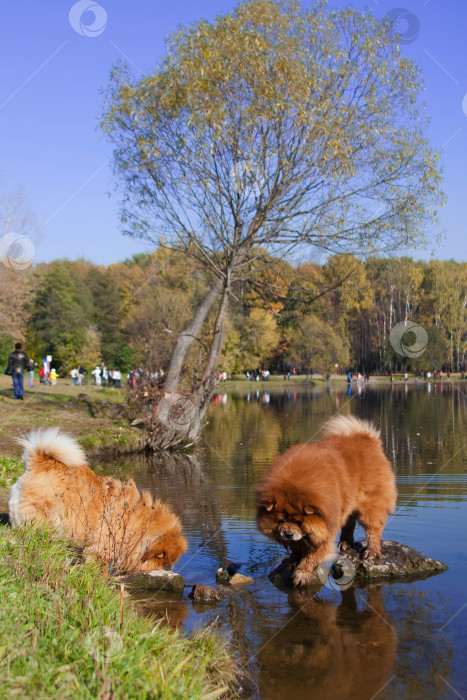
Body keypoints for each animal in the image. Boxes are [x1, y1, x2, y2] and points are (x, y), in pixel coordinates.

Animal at [256, 416, 398, 584]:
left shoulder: (324, 529)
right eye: (281, 520)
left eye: (299, 522)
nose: (288, 534)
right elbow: (297, 547)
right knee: (349, 524)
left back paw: (372, 551)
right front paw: (292, 560)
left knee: (373, 529)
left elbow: (313, 553)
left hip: (370, 504)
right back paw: (345, 543)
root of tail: (366, 437)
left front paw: (302, 572)